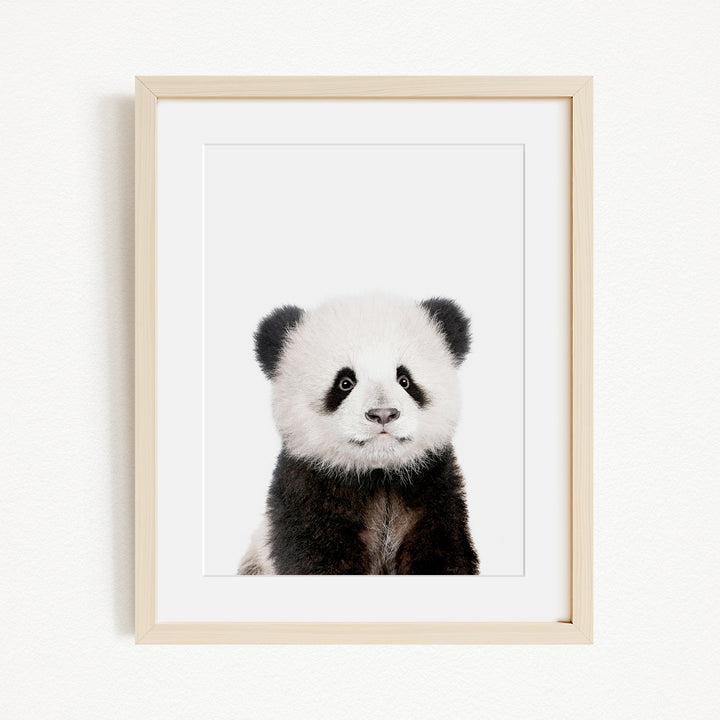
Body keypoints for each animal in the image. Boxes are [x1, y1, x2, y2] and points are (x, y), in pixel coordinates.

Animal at [238, 294, 479, 575]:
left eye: (405, 380)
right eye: (345, 383)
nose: (383, 414)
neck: (378, 475)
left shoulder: (432, 488)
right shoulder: (308, 490)